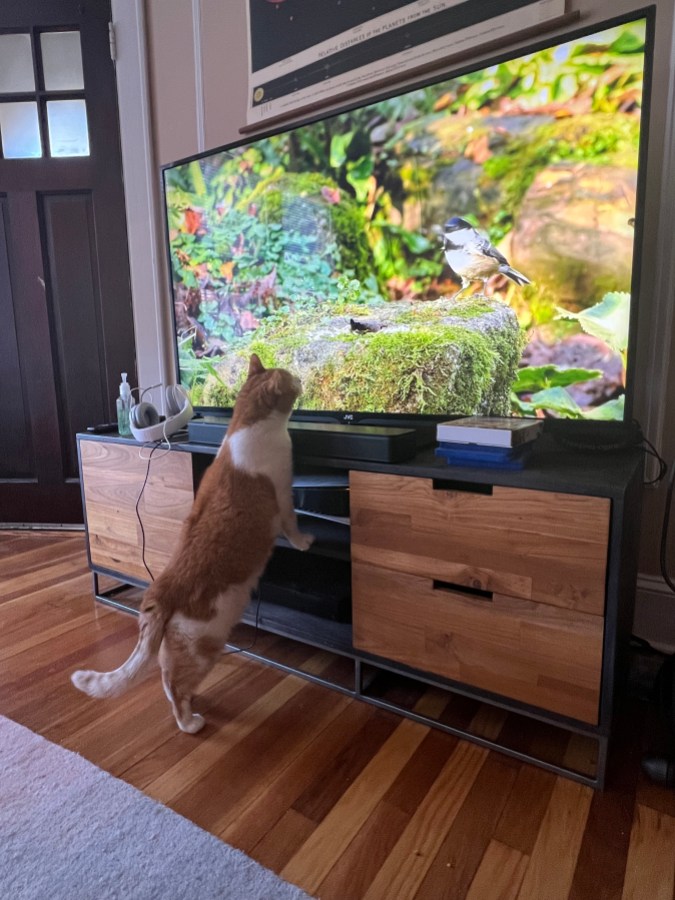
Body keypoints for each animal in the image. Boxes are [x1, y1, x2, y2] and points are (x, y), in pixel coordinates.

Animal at [72, 352, 316, 732]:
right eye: (292, 379)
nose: (303, 381)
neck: (244, 424)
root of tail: (160, 591)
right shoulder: (284, 497)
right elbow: (293, 526)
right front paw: (305, 541)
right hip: (206, 644)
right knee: (173, 686)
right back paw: (190, 723)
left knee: (167, 678)